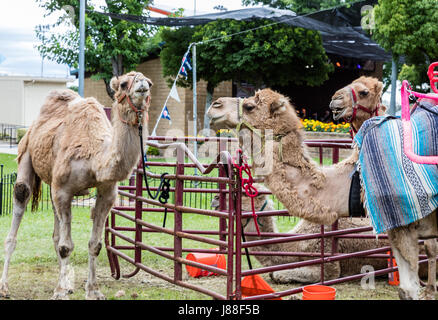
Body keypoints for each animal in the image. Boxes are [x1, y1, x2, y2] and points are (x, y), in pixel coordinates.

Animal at [0, 71, 153, 298]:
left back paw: (67, 284)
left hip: (51, 182)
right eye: (125, 83)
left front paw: (93, 291)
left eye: (150, 82)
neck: (95, 158)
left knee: (55, 233)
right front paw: (60, 292)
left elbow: (95, 244)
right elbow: (66, 246)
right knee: (20, 198)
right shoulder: (63, 190)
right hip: (26, 154)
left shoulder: (107, 193)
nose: (143, 84)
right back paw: (5, 286)